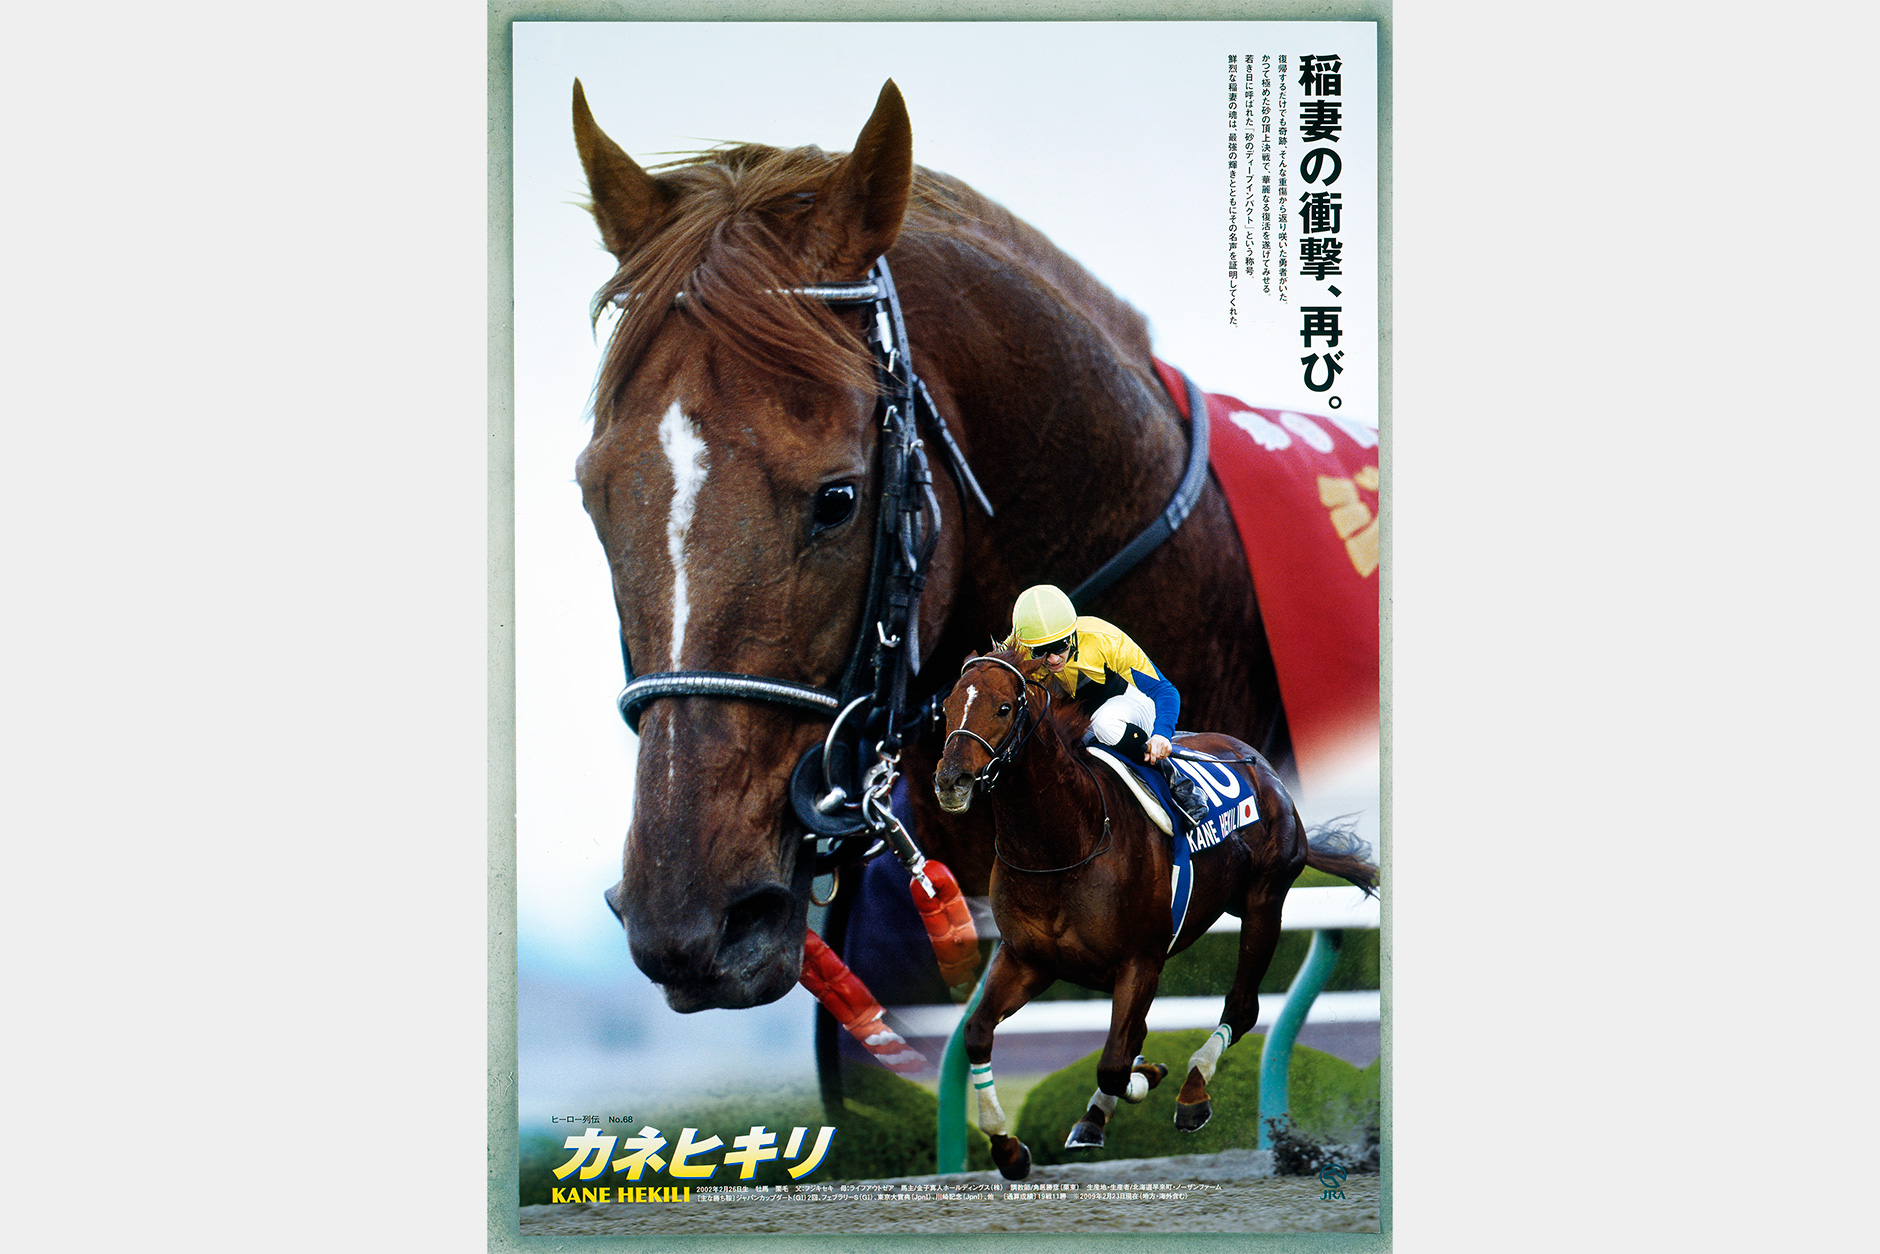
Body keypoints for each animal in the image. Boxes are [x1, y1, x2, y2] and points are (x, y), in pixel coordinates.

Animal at [931, 649, 1377, 1179]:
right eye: (946, 706)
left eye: (1002, 708)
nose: (950, 781)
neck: (1065, 841)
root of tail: (1260, 765)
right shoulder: (1027, 959)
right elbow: (978, 1034)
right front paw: (1008, 1148)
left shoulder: (1139, 960)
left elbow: (1114, 1064)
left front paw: (1148, 1076)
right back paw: (1098, 1115)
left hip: (1265, 902)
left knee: (1242, 1007)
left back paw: (1192, 1093)